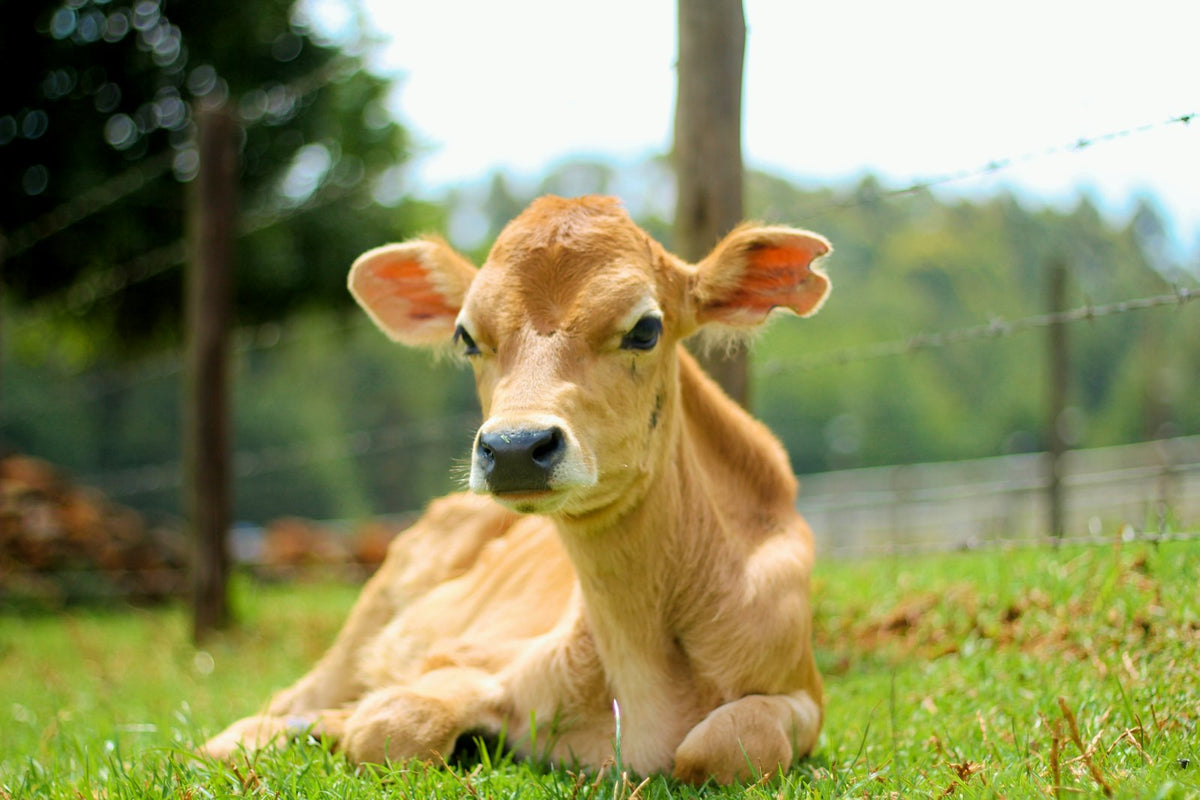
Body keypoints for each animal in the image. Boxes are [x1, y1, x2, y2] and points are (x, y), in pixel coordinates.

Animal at [201, 195, 832, 784]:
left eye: (645, 329)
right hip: (364, 622)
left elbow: (732, 742)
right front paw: (339, 727)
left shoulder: (803, 694)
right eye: (465, 336)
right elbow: (396, 724)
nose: (513, 447)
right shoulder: (466, 657)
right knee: (273, 709)